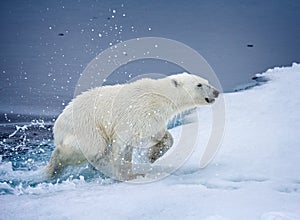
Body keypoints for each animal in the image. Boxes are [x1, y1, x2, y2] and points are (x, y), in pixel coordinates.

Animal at [45, 72, 219, 180]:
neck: (160, 95)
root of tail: (57, 127)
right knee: (92, 148)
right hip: (86, 128)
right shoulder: (138, 112)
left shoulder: (152, 117)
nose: (216, 92)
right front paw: (128, 175)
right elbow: (123, 143)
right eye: (199, 84)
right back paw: (52, 168)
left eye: (207, 82)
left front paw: (152, 155)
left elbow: (159, 135)